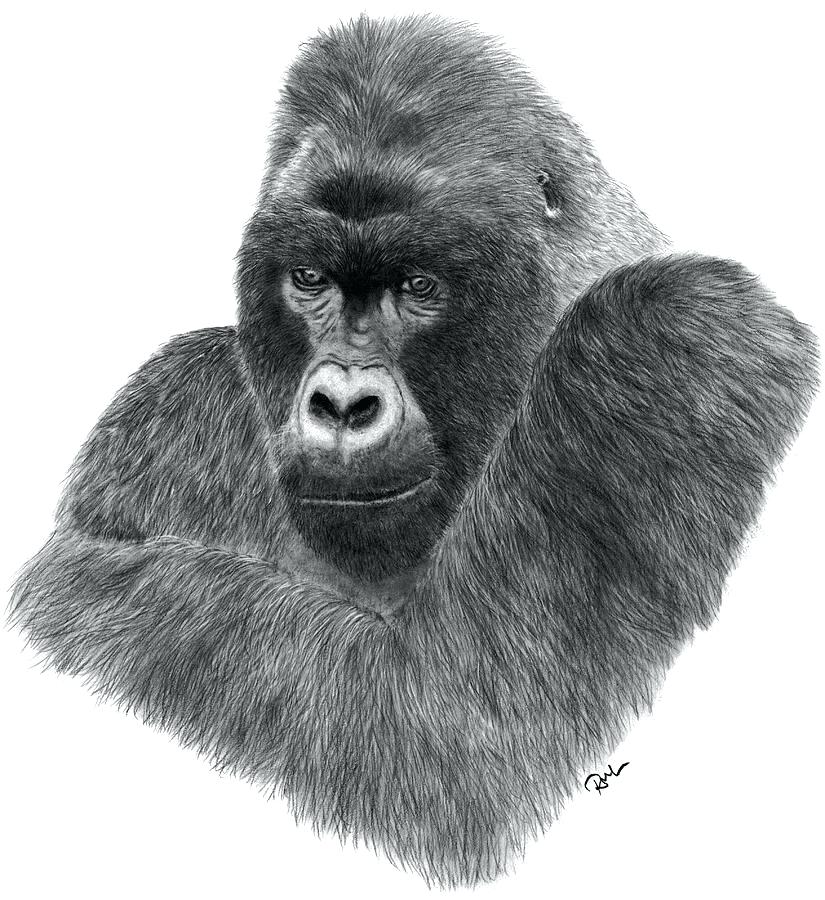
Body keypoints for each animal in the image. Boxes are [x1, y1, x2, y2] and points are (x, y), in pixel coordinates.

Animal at [10, 15, 818, 887]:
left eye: (418, 286)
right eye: (309, 278)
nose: (340, 406)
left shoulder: (665, 333)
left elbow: (451, 730)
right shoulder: (167, 403)